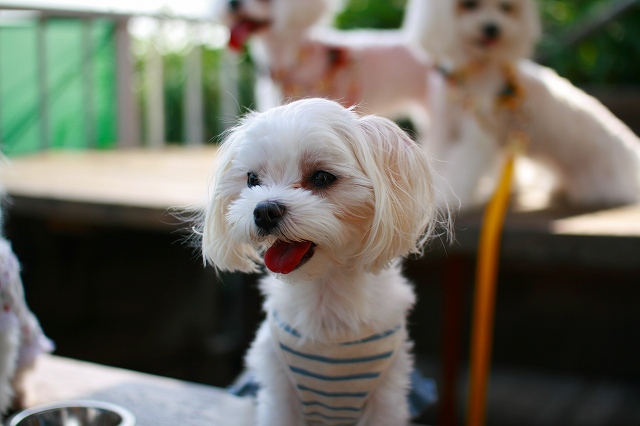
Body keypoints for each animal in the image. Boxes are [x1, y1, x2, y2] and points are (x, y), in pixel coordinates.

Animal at [198, 98, 442, 424]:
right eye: (252, 179)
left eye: (322, 177)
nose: (264, 210)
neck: (326, 297)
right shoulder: (279, 391)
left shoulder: (386, 395)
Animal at [404, 0, 640, 208]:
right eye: (469, 4)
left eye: (506, 7)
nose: (492, 28)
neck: (470, 77)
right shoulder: (444, 127)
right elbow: (441, 160)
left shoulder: (478, 135)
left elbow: (463, 167)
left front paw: (449, 199)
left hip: (597, 182)